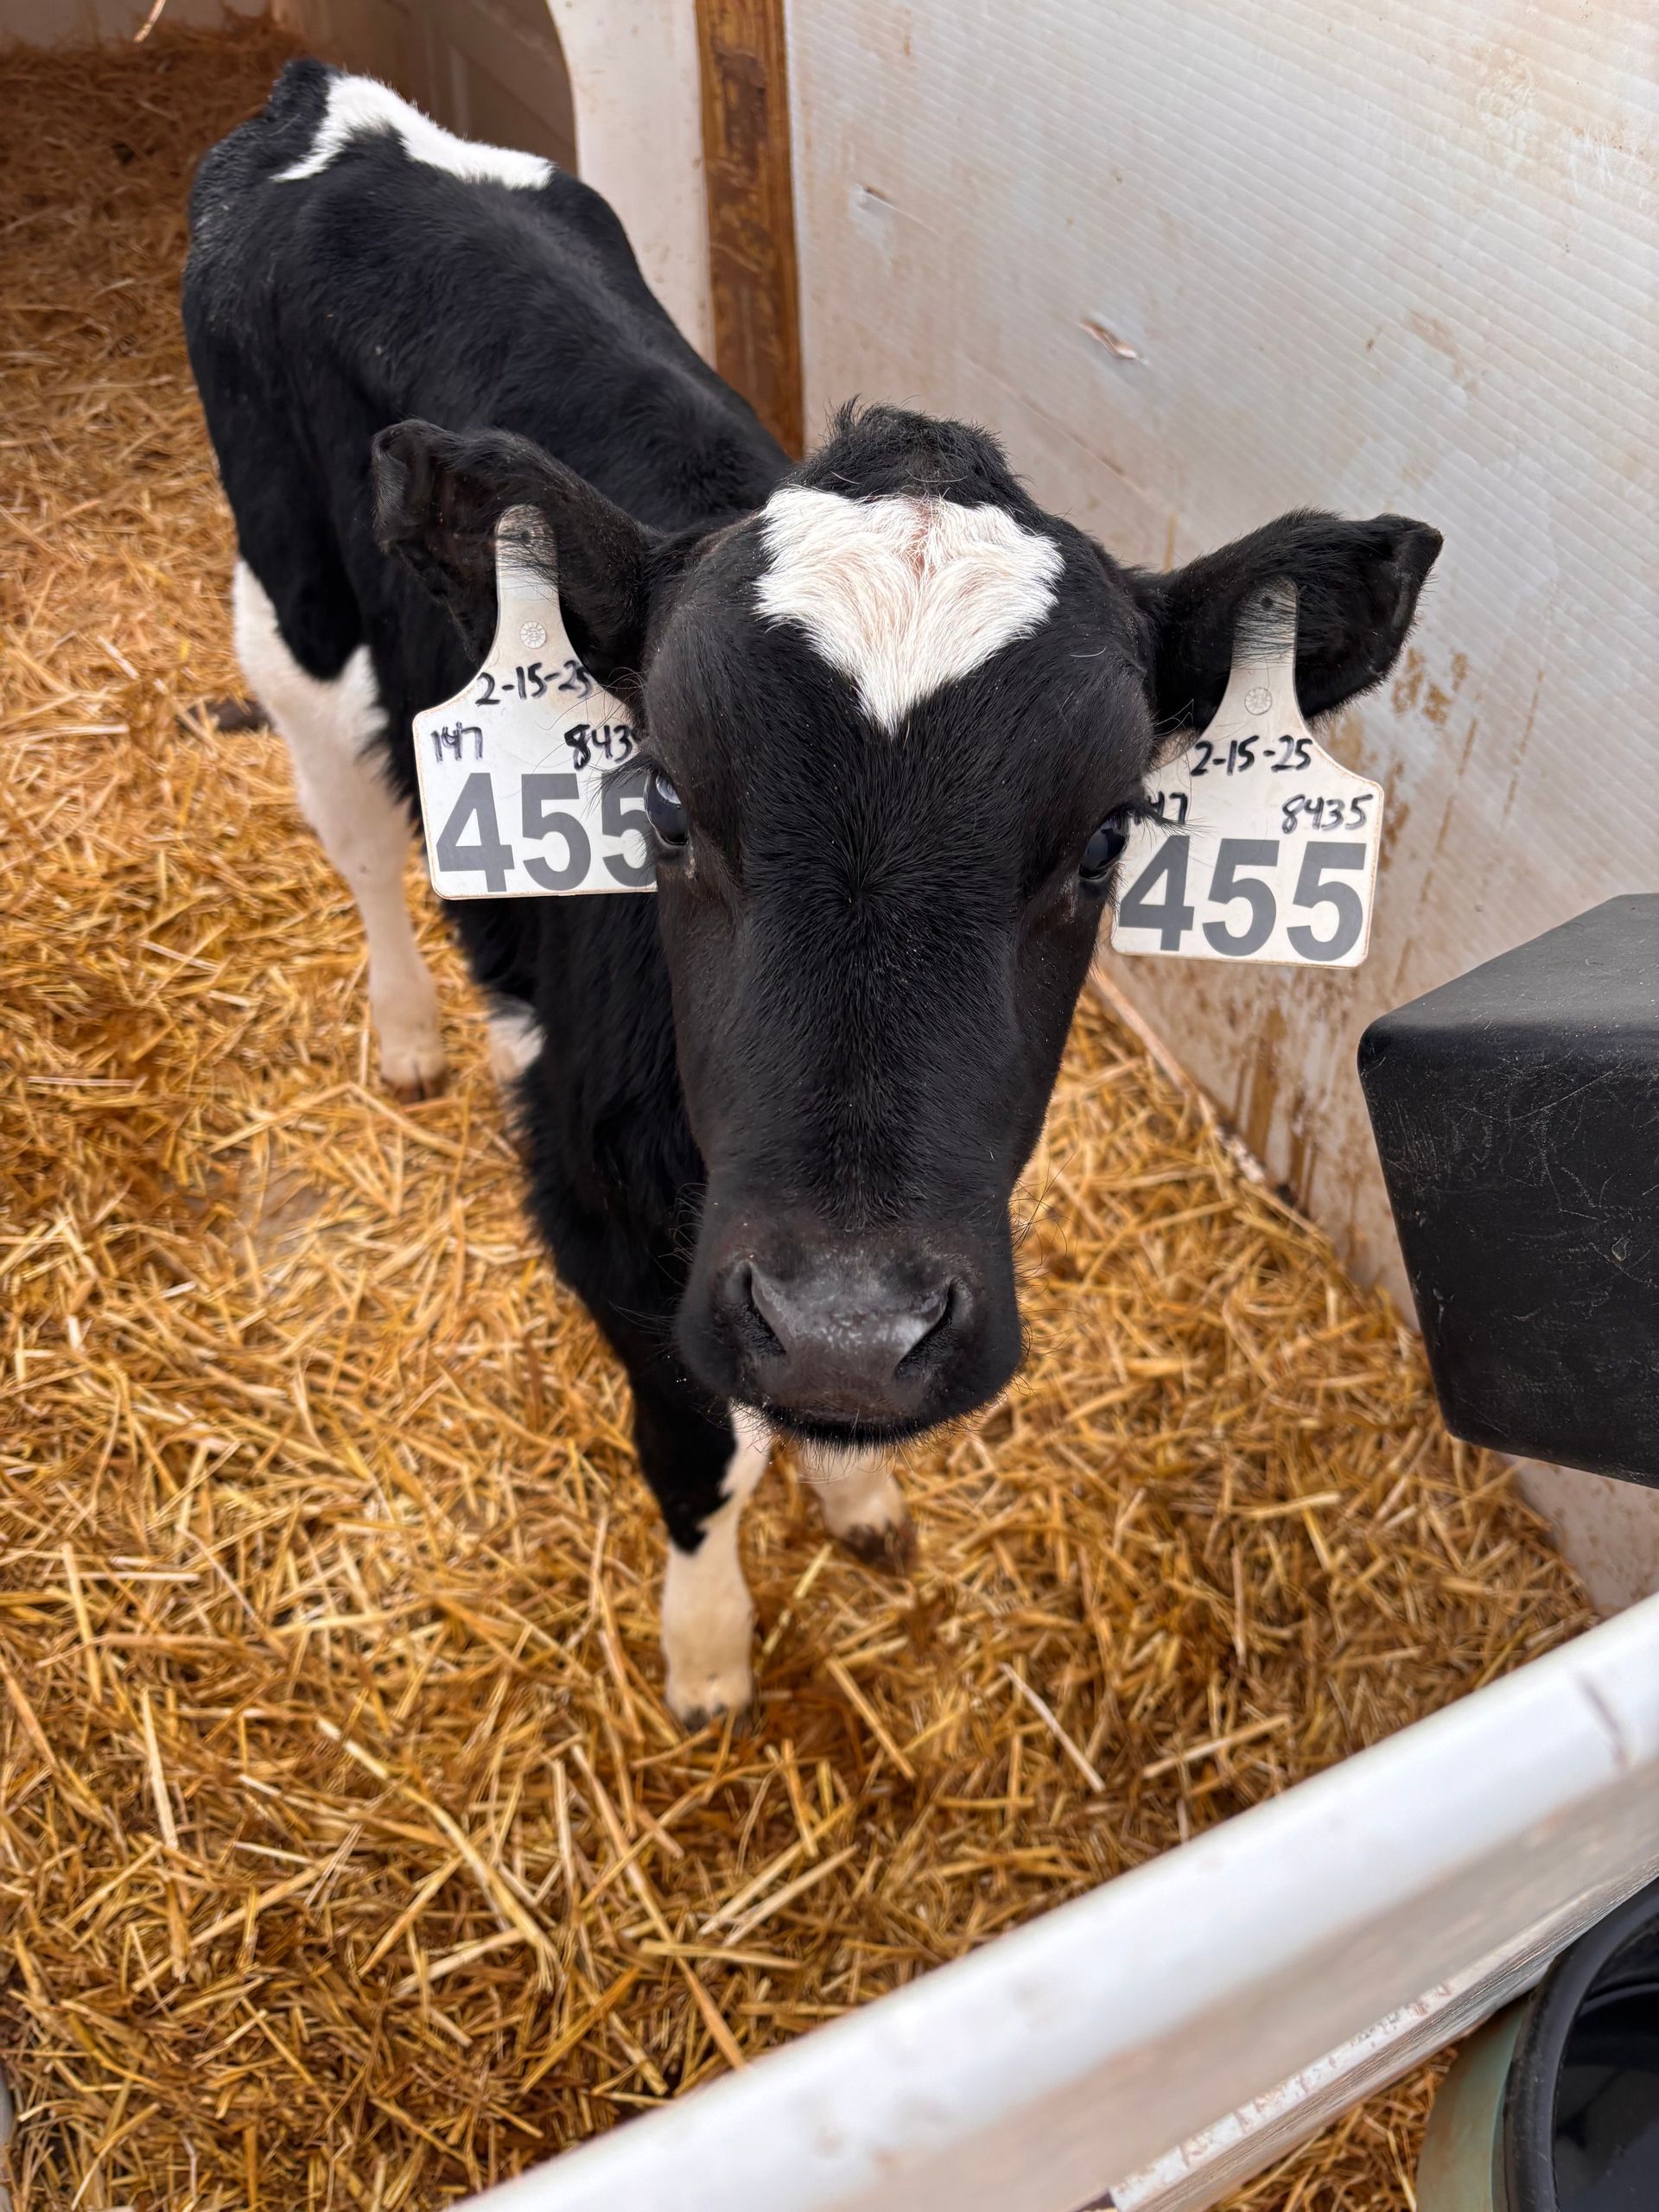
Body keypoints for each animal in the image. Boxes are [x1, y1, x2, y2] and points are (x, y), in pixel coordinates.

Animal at [183, 61, 1440, 1728]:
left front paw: (853, 1491)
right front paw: (709, 1648)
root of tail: (334, 99)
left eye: (1110, 837)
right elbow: (701, 1446)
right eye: (660, 798)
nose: (848, 1326)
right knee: (360, 839)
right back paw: (406, 1033)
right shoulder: (602, 1209)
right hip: (295, 619)